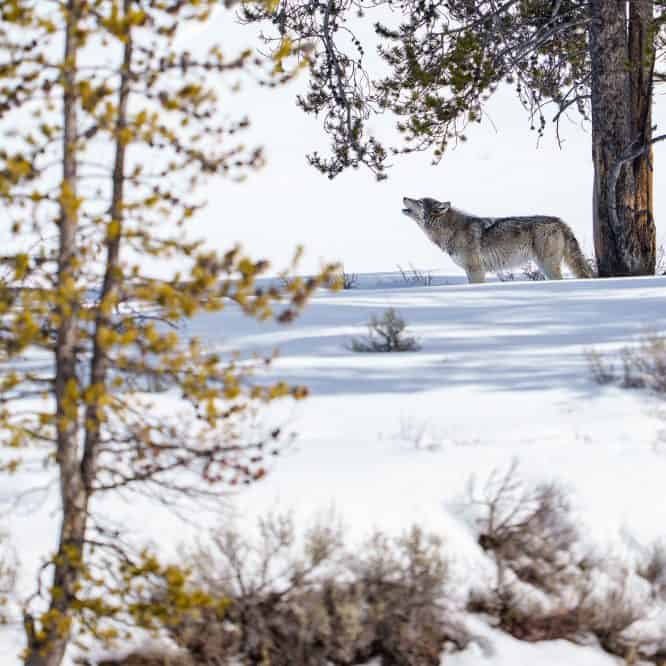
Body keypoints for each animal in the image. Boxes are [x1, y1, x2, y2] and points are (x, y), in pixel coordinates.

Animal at [402, 196, 592, 283]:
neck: (451, 230)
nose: (404, 196)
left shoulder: (476, 270)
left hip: (548, 265)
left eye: (419, 201)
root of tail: (560, 221)